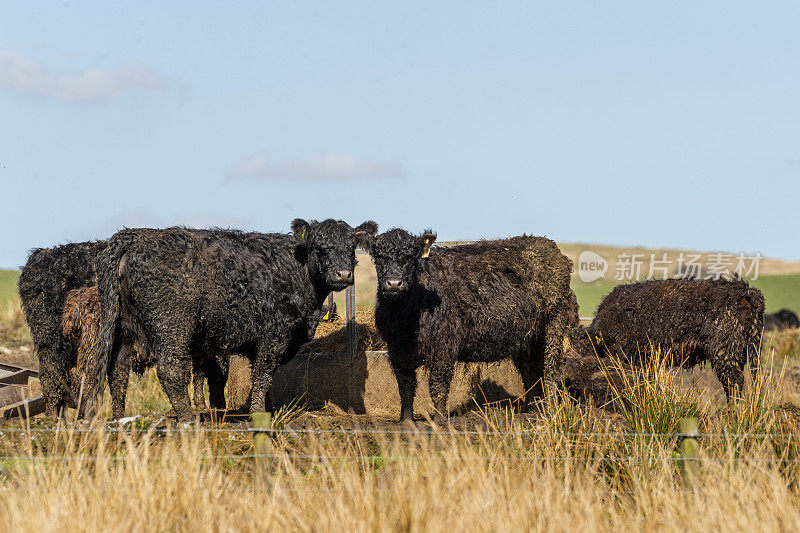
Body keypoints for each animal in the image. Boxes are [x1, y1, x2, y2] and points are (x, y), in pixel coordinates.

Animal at [94, 218, 378, 422]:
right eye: (320, 247)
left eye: (351, 247)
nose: (343, 274)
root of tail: (135, 236)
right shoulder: (273, 335)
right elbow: (263, 374)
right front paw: (258, 413)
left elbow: (264, 378)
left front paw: (267, 409)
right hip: (172, 324)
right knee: (170, 370)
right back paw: (187, 418)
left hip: (124, 328)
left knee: (117, 371)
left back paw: (118, 420)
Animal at [360, 231, 576, 422]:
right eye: (379, 258)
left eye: (411, 258)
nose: (394, 283)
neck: (405, 318)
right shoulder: (396, 349)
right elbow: (405, 386)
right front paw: (406, 421)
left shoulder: (444, 346)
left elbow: (438, 384)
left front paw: (439, 420)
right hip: (524, 337)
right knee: (530, 373)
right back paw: (532, 411)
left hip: (553, 324)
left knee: (550, 370)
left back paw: (551, 411)